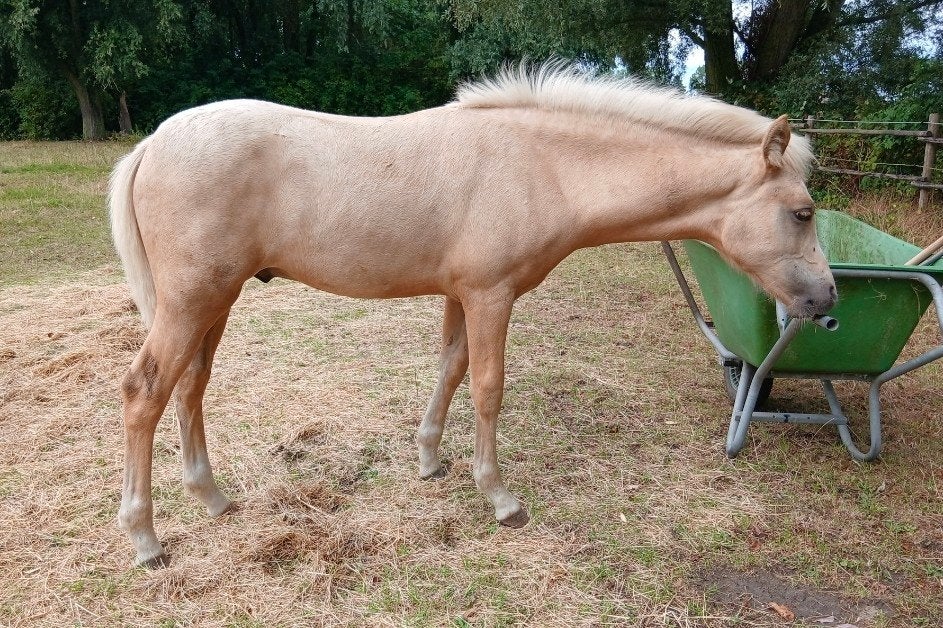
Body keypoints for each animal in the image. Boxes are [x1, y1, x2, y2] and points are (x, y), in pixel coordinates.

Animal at [109, 63, 836, 567]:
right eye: (802, 212)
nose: (827, 304)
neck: (543, 165)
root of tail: (152, 143)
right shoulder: (491, 294)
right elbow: (487, 386)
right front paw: (500, 498)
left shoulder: (460, 294)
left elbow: (451, 368)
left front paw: (430, 460)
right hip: (192, 301)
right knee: (145, 391)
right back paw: (145, 537)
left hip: (214, 301)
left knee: (191, 386)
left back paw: (212, 498)